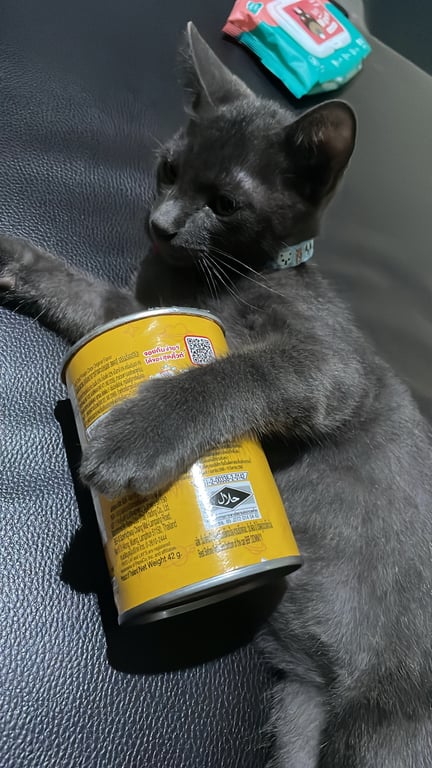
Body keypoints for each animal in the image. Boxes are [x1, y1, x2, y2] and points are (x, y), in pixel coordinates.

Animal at [1, 21, 432, 768]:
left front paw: (132, 433)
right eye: (169, 170)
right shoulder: (134, 310)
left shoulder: (329, 362)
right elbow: (84, 292)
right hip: (298, 714)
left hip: (382, 730)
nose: (161, 225)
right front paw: (11, 255)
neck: (216, 280)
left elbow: (232, 372)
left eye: (225, 203)